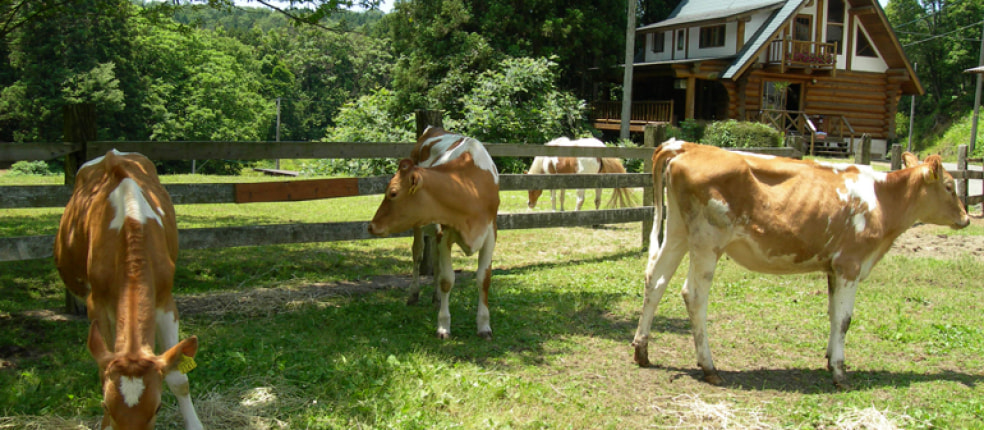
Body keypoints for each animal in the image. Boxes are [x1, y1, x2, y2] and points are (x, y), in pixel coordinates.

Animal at [54, 149, 203, 428]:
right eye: (106, 406)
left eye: (157, 408)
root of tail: (112, 152)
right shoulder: (97, 304)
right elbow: (102, 370)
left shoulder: (166, 302)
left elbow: (179, 379)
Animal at [370, 127, 504, 340]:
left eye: (393, 193)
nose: (371, 226)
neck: (469, 187)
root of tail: (433, 128)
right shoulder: (444, 233)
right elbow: (447, 280)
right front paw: (443, 326)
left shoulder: (490, 233)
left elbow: (484, 278)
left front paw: (484, 326)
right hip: (419, 227)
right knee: (418, 255)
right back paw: (414, 294)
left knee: (434, 261)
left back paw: (436, 298)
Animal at [632, 139, 968, 388]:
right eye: (950, 186)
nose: (966, 218)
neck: (881, 200)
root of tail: (688, 146)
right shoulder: (850, 264)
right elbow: (844, 319)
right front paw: (840, 373)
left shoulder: (833, 267)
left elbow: (833, 314)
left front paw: (829, 359)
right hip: (706, 242)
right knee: (693, 295)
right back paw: (709, 367)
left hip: (678, 231)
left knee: (656, 280)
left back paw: (642, 351)